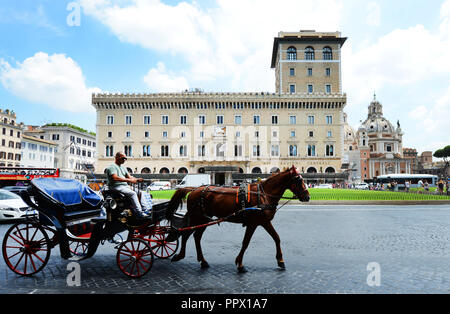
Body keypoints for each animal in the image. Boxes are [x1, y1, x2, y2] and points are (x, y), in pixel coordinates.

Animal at [165, 164, 310, 272]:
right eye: (298, 179)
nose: (307, 197)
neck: (263, 195)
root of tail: (193, 189)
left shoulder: (264, 222)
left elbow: (277, 238)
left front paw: (280, 260)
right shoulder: (253, 223)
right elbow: (245, 242)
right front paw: (240, 264)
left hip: (204, 219)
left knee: (196, 236)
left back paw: (203, 261)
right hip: (197, 218)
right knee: (186, 234)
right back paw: (180, 256)